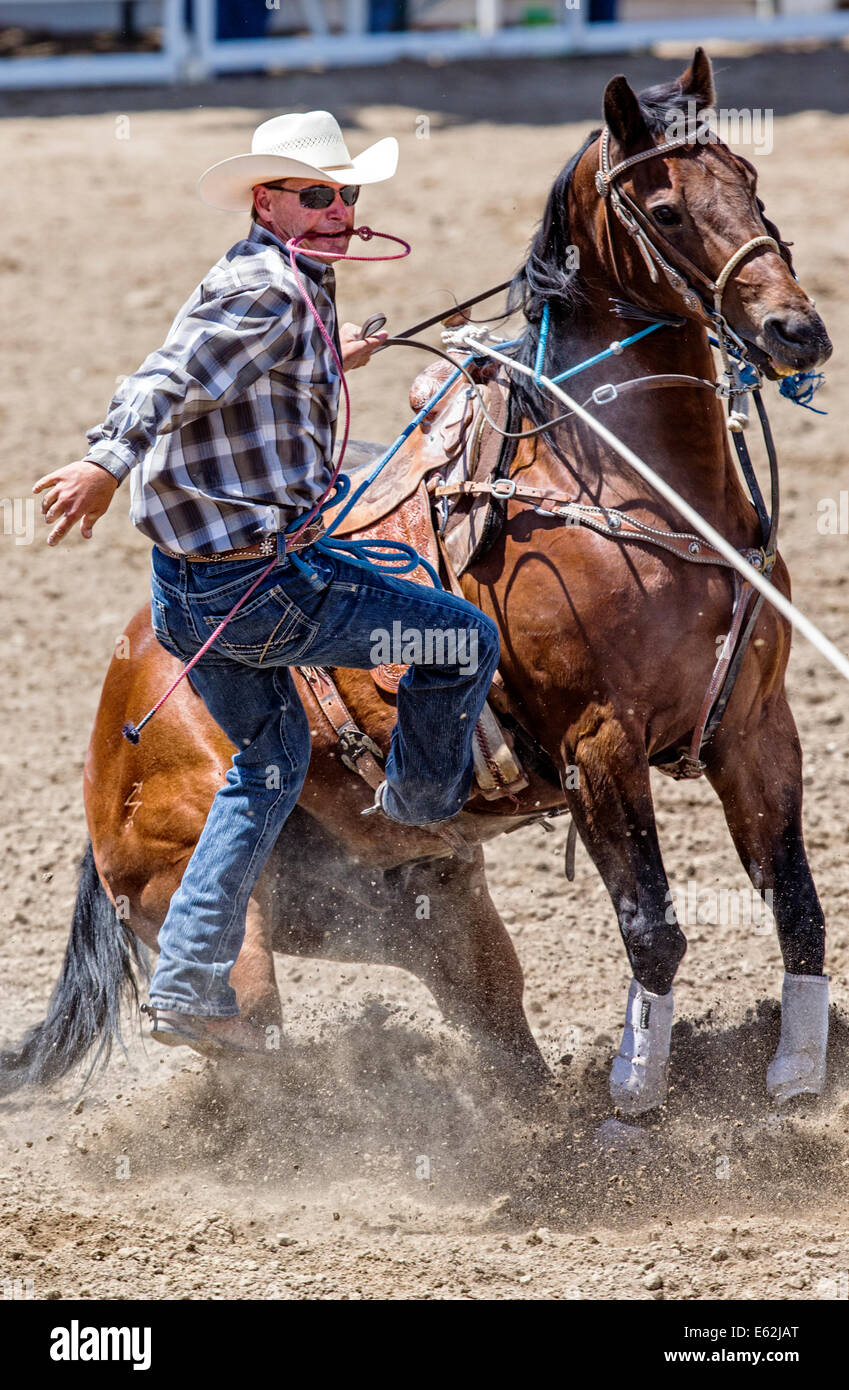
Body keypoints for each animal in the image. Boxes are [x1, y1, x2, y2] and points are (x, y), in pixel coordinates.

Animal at [1, 49, 833, 1116]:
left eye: (749, 180)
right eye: (665, 208)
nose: (793, 331)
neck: (627, 482)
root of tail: (111, 742)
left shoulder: (756, 726)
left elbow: (799, 905)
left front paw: (796, 1074)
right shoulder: (598, 746)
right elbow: (652, 926)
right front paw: (634, 1100)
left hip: (427, 909)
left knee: (493, 1023)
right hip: (217, 914)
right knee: (248, 1036)